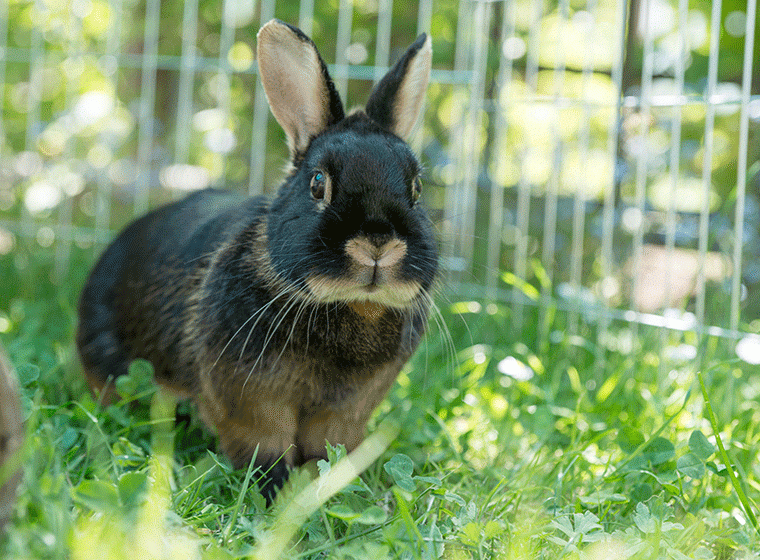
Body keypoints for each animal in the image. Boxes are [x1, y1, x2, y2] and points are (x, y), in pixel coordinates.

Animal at [76, 19, 437, 501]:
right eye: (318, 184)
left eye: (417, 188)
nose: (378, 241)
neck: (349, 306)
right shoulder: (249, 397)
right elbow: (262, 442)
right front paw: (275, 490)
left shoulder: (348, 411)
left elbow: (329, 448)